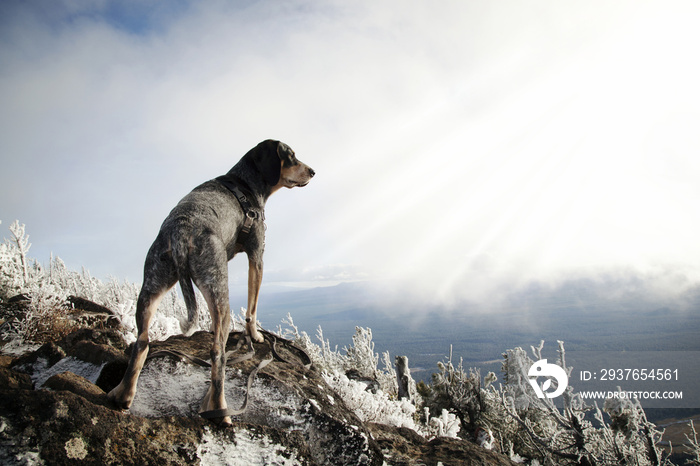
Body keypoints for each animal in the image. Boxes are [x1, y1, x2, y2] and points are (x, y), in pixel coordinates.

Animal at [108, 139, 316, 426]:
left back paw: (123, 394)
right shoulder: (257, 256)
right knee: (218, 354)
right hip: (219, 292)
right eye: (291, 156)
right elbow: (252, 308)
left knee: (142, 342)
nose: (313, 171)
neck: (246, 183)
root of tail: (181, 231)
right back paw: (219, 408)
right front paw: (255, 335)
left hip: (152, 285)